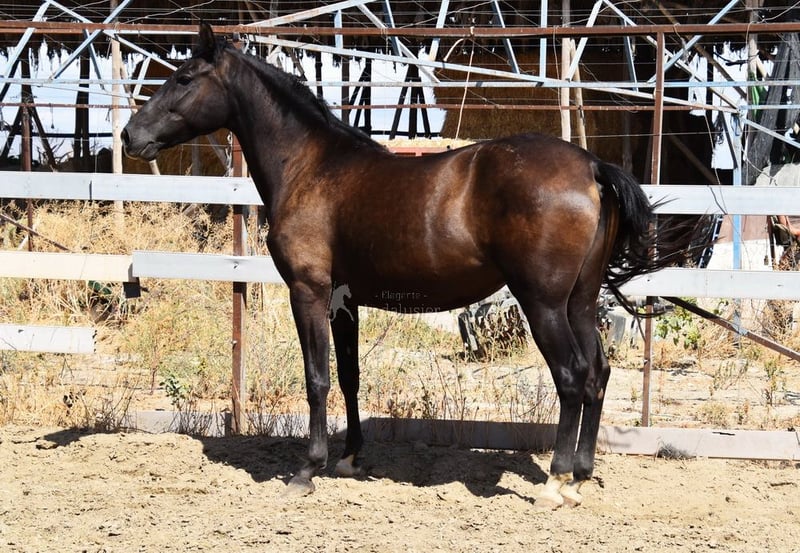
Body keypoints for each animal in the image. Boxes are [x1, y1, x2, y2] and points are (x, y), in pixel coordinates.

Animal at [123, 23, 700, 507]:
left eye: (183, 78)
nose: (130, 136)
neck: (311, 167)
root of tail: (590, 166)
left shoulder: (308, 292)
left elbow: (317, 378)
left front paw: (307, 470)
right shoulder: (344, 301)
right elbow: (349, 376)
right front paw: (350, 459)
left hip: (543, 304)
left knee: (573, 375)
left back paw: (556, 482)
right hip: (578, 301)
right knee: (598, 372)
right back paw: (579, 475)